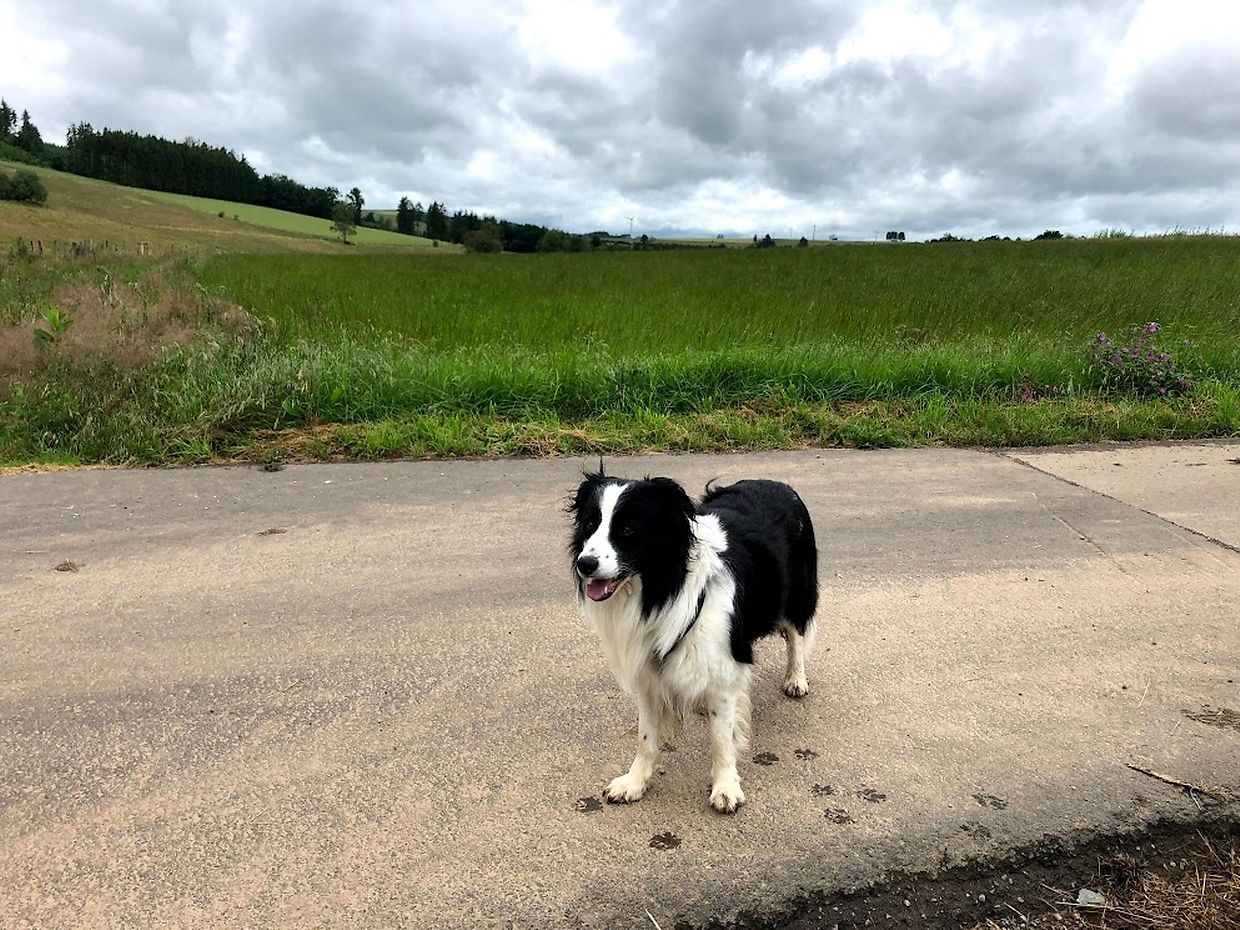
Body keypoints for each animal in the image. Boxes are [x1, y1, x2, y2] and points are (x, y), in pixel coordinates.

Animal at [569, 470, 818, 813]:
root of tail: (776, 482)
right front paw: (635, 782)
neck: (661, 587)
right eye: (589, 524)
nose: (586, 564)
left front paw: (725, 786)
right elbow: (646, 737)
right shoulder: (647, 673)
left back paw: (796, 679)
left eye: (629, 528)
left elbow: (722, 739)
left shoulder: (725, 667)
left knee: (795, 636)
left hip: (795, 594)